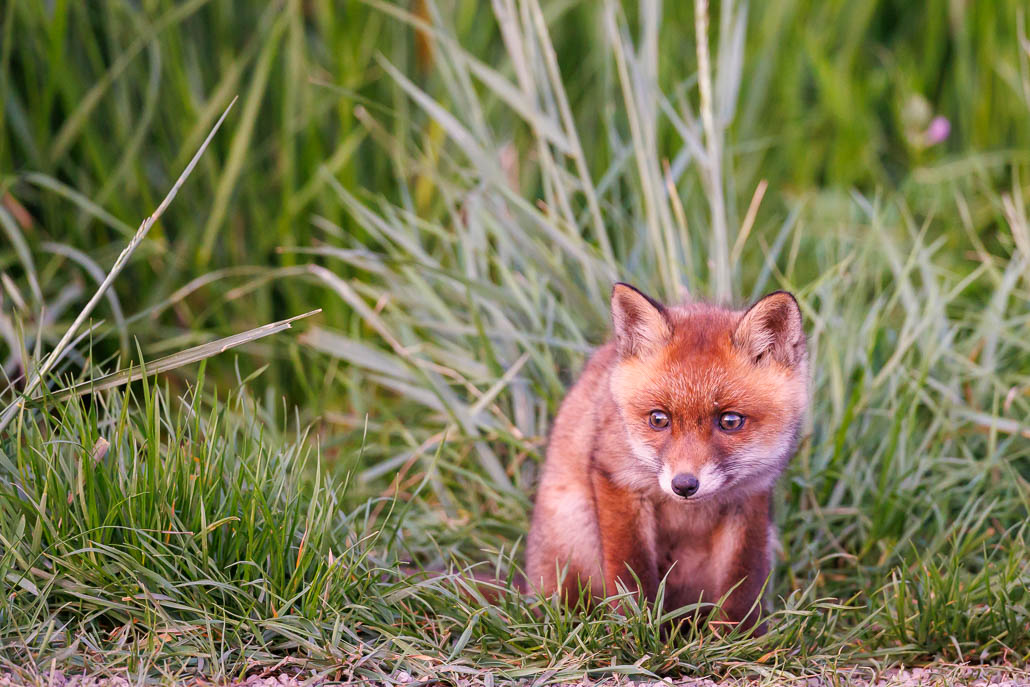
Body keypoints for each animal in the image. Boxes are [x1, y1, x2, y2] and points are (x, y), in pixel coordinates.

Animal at [525, 283, 808, 632]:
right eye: (659, 419)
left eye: (730, 421)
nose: (684, 485)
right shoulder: (618, 480)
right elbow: (630, 575)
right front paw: (634, 630)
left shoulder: (750, 495)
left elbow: (743, 582)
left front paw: (740, 638)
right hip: (576, 532)